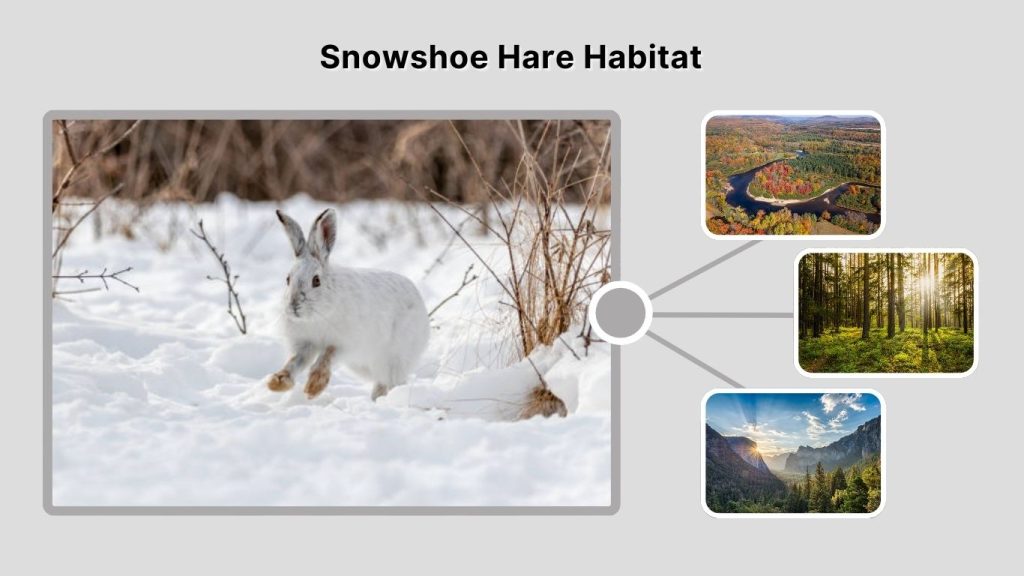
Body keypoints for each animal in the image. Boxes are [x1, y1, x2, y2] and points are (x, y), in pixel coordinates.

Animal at [265, 208, 430, 401]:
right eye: (287, 279)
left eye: (316, 281)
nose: (294, 305)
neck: (316, 316)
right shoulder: (305, 345)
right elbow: (295, 361)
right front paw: (277, 382)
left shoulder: (343, 343)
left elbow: (326, 356)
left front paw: (314, 387)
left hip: (394, 358)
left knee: (391, 381)